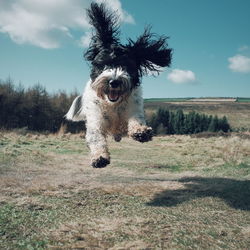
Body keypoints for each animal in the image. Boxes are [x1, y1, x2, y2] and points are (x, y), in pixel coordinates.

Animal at [65, 2, 173, 168]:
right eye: (103, 64)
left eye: (127, 66)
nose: (114, 81)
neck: (113, 105)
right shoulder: (96, 118)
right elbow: (96, 137)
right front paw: (99, 157)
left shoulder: (133, 107)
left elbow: (136, 119)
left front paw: (141, 131)